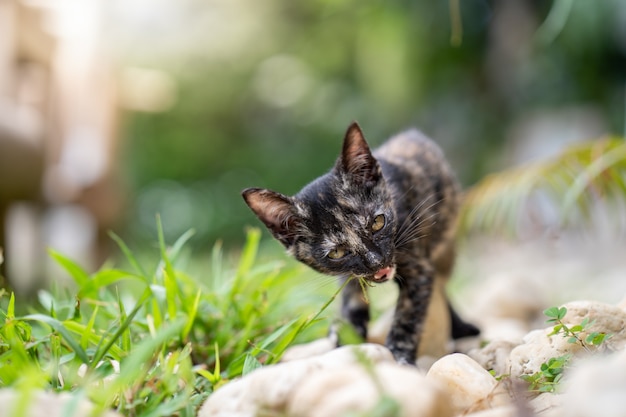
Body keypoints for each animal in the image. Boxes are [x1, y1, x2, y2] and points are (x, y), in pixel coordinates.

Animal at [241, 121, 476, 364]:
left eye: (378, 222)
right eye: (336, 253)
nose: (377, 262)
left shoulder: (419, 267)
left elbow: (407, 316)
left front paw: (399, 358)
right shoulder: (350, 277)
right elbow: (351, 306)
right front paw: (345, 344)